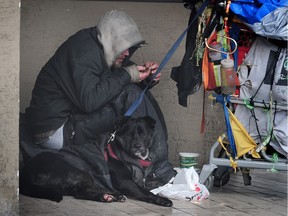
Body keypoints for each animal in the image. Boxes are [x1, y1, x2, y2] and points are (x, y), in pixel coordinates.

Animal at [20, 117, 173, 207]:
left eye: (143, 133)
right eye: (129, 134)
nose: (137, 146)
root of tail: (27, 172)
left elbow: (149, 183)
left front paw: (159, 182)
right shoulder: (124, 181)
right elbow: (144, 191)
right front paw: (161, 200)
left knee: (80, 191)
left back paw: (107, 196)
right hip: (78, 171)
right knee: (82, 191)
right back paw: (110, 195)